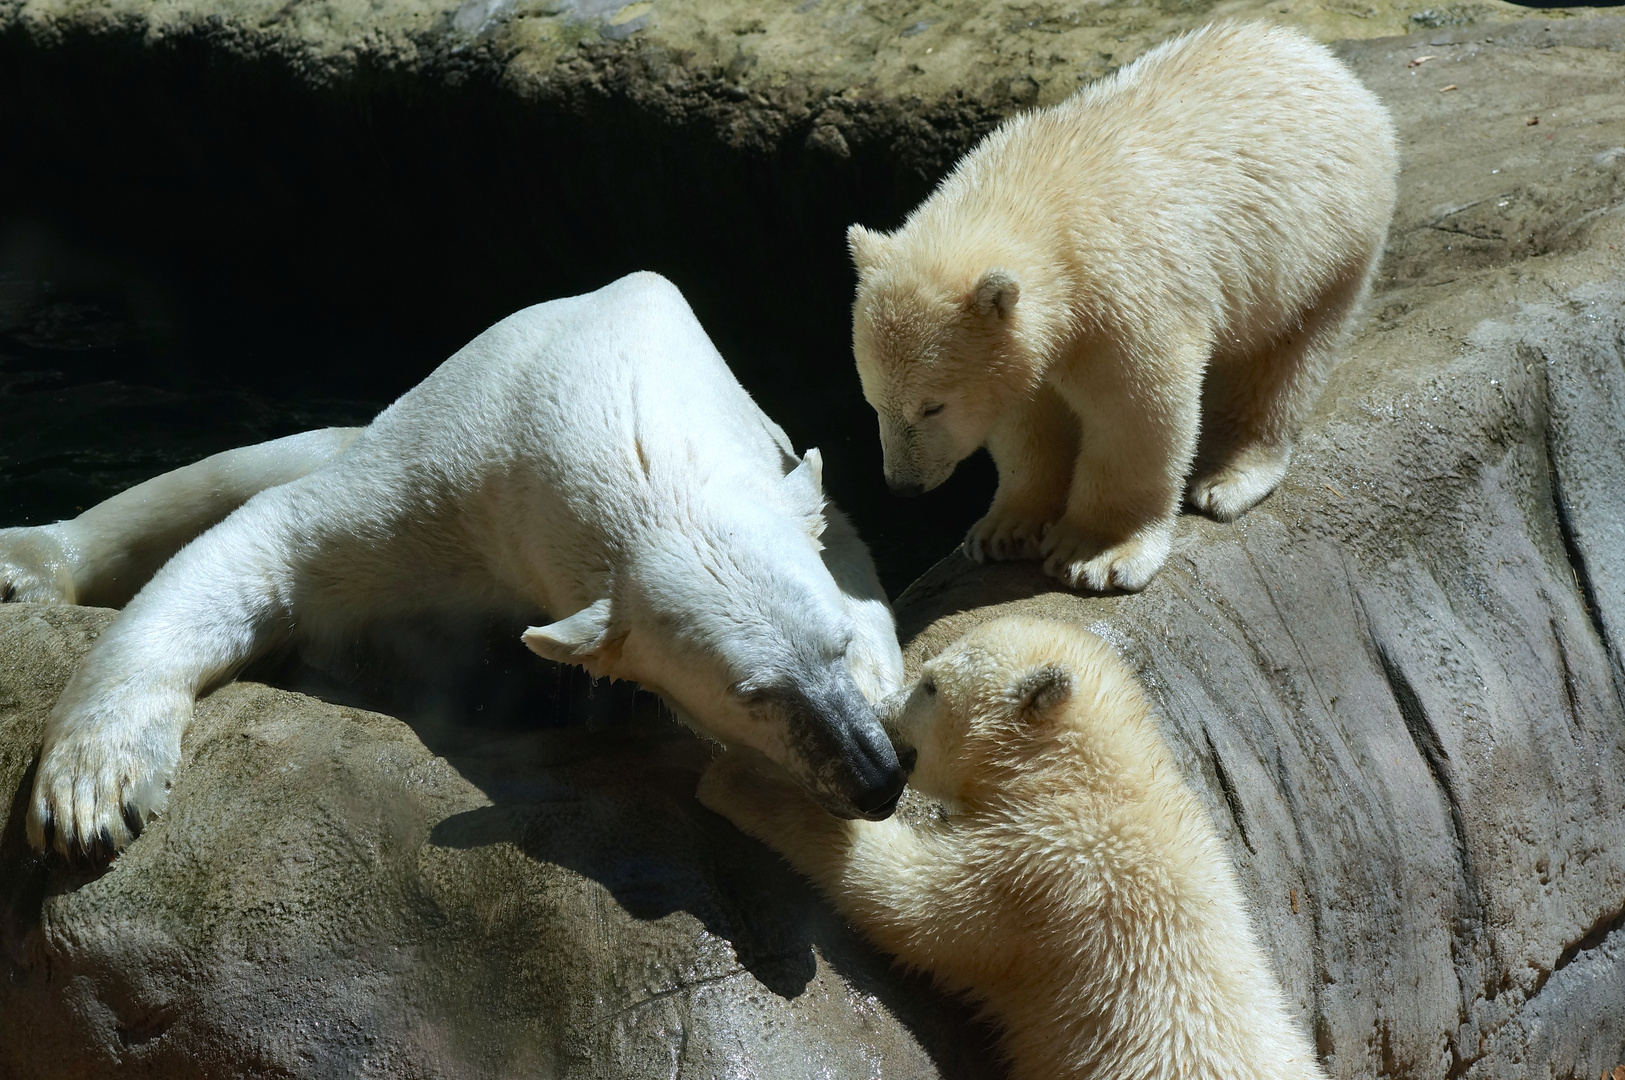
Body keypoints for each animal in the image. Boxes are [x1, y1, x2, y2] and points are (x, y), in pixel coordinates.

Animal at [3, 271, 916, 857]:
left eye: (835, 646)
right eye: (749, 693)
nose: (874, 776)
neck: (620, 405)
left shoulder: (779, 468)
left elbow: (849, 552)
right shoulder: (454, 478)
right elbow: (267, 540)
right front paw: (91, 795)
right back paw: (23, 564)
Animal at [705, 613, 1326, 1078]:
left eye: (929, 684)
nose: (878, 714)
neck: (1086, 779)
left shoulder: (1050, 868)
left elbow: (915, 905)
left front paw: (743, 781)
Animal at [851, 21, 1397, 591]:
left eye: (932, 405)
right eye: (873, 401)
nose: (903, 486)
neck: (1034, 197)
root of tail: (1321, 60)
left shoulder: (1121, 294)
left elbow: (1136, 409)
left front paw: (1095, 554)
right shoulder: (1030, 341)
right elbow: (1027, 417)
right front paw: (1004, 530)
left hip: (1321, 245)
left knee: (1283, 358)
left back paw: (1229, 477)